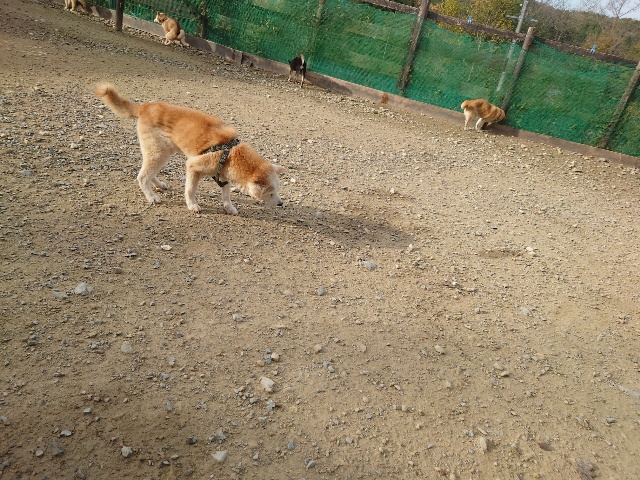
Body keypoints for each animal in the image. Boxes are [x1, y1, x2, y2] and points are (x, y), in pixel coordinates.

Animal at [95, 83, 286, 215]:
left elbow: (226, 195)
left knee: (150, 173)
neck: (231, 154)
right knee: (142, 176)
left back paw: (159, 185)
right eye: (270, 193)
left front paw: (229, 208)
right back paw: (151, 197)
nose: (281, 204)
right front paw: (192, 205)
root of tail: (144, 107)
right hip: (158, 153)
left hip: (163, 153)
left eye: (277, 190)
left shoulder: (224, 176)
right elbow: (190, 190)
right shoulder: (193, 167)